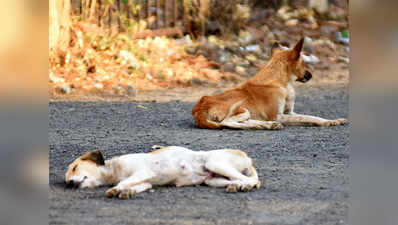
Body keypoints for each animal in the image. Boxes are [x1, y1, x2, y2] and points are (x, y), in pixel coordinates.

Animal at [65, 146, 262, 199]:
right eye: (66, 181)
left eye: (74, 168)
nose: (69, 184)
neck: (113, 170)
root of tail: (248, 157)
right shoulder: (145, 182)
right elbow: (135, 186)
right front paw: (126, 191)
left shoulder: (143, 172)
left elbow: (122, 183)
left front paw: (117, 189)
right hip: (213, 180)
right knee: (238, 180)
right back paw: (236, 186)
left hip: (214, 162)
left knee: (252, 181)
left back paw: (245, 185)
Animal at [192, 37, 346, 129]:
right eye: (303, 62)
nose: (310, 75)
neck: (281, 82)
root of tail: (200, 107)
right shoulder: (278, 115)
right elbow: (306, 117)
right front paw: (326, 122)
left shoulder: (289, 112)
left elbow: (312, 116)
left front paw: (332, 120)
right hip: (241, 108)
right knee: (228, 123)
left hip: (245, 112)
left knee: (242, 121)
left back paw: (266, 125)